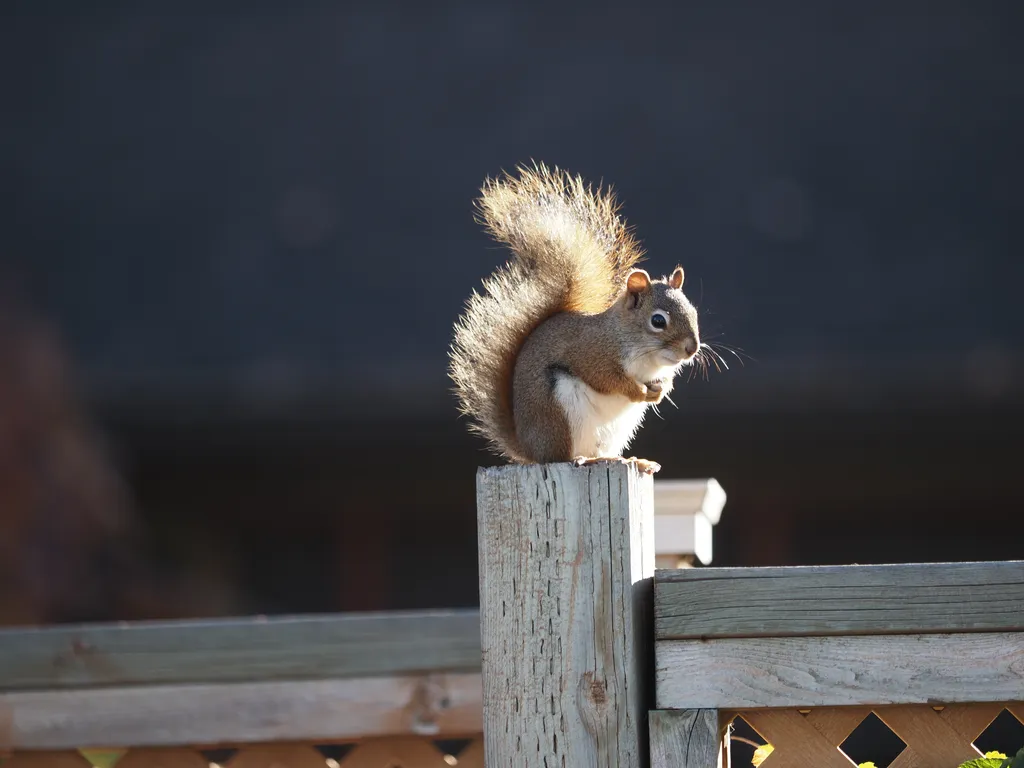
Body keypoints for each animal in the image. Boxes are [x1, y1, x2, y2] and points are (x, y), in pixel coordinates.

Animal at [450, 163, 700, 475]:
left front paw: (661, 390)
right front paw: (639, 391)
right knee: (562, 456)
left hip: (615, 430)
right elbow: (607, 379)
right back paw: (586, 459)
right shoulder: (591, 352)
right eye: (658, 321)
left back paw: (628, 460)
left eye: (693, 312)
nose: (692, 348)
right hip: (560, 413)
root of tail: (529, 449)